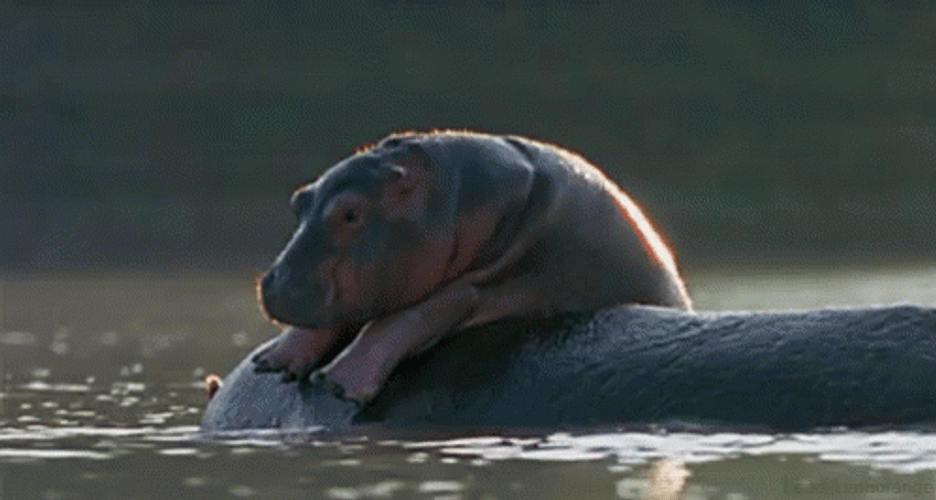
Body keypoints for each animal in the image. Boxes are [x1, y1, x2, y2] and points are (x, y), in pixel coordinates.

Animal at [254, 130, 691, 404]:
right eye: (299, 200)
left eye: (349, 214)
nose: (273, 284)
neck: (452, 196)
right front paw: (273, 362)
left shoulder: (480, 285)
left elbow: (405, 319)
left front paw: (337, 384)